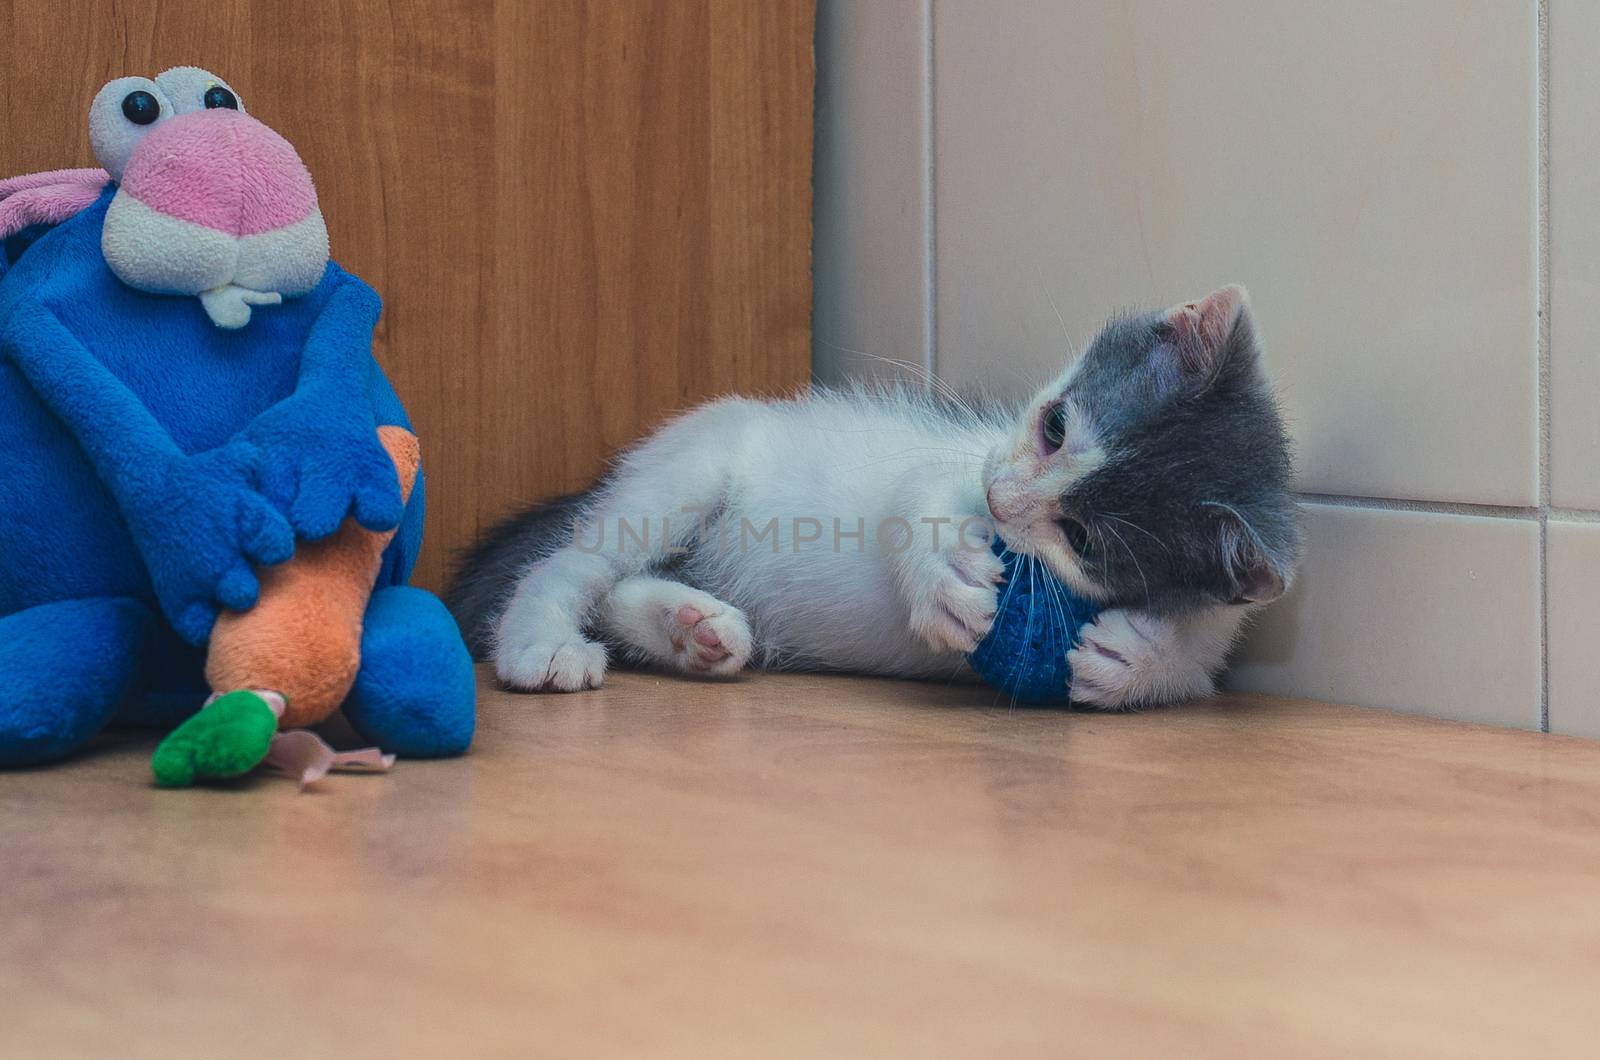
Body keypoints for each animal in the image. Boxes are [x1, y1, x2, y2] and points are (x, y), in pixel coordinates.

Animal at [451, 286, 1299, 710]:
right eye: (1055, 426)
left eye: (1082, 537)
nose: (1000, 499)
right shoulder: (955, 455)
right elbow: (911, 495)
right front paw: (945, 575)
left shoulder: (1228, 607)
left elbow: (1201, 662)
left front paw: (1140, 659)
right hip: (687, 467)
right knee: (571, 564)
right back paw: (540, 643)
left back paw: (696, 629)